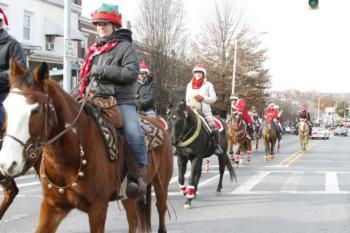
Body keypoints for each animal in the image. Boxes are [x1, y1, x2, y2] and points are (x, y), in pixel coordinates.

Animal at [0, 59, 173, 233]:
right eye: (5, 106)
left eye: (35, 110)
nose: (7, 163)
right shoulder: (52, 207)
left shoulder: (98, 207)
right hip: (128, 196)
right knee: (133, 220)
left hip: (161, 184)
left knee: (161, 209)